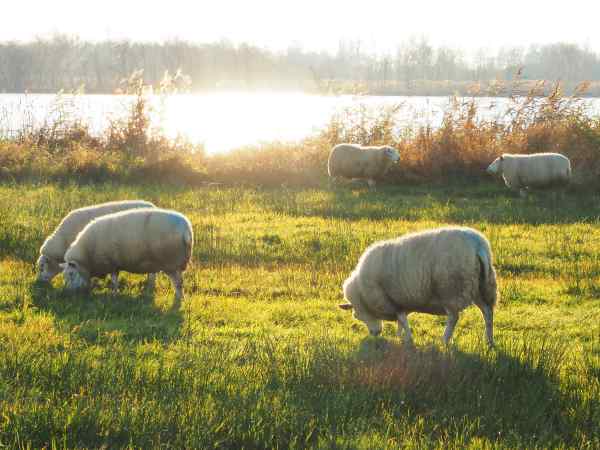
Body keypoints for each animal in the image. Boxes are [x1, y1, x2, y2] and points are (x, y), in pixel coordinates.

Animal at [60, 208, 193, 302]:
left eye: (71, 274)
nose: (67, 294)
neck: (87, 255)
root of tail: (186, 230)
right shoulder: (113, 264)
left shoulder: (111, 263)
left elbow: (114, 280)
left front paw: (114, 295)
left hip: (171, 262)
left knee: (178, 283)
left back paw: (178, 299)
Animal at [338, 227, 496, 346]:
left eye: (358, 316)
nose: (374, 334)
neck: (362, 292)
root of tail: (478, 245)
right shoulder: (400, 301)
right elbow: (400, 321)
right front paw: (400, 337)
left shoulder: (391, 300)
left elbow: (402, 320)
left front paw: (407, 339)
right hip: (481, 286)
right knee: (487, 312)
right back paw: (488, 341)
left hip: (451, 289)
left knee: (453, 317)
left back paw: (445, 340)